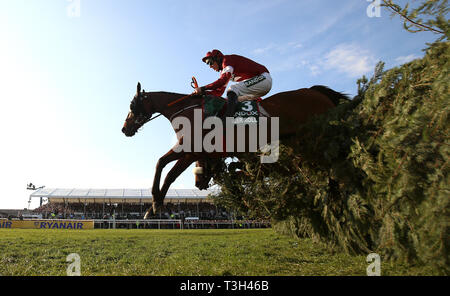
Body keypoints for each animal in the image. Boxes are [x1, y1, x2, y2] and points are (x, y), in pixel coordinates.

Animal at [122, 83, 348, 217]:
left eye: (132, 106)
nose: (125, 128)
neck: (189, 111)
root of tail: (314, 90)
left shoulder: (190, 149)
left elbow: (165, 168)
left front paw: (155, 204)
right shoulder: (192, 151)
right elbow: (167, 169)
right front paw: (155, 205)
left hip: (316, 139)